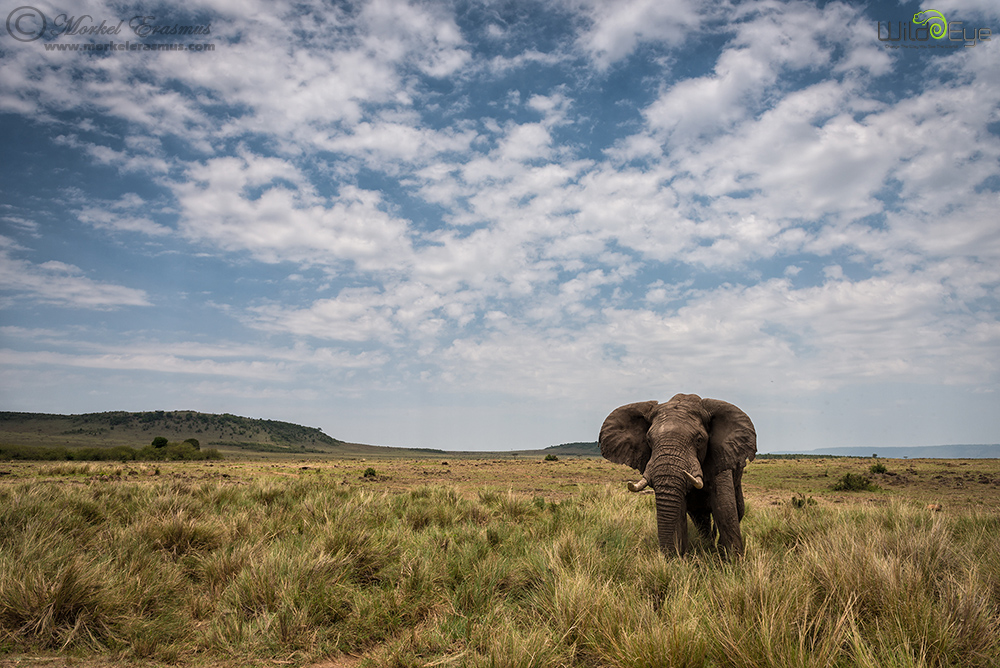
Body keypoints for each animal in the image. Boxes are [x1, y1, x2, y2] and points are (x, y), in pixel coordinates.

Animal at [599, 393, 756, 558]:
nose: (666, 557)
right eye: (648, 440)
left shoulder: (721, 457)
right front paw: (678, 559)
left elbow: (725, 509)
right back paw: (707, 545)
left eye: (699, 440)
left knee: (738, 509)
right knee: (700, 519)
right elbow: (678, 510)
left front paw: (733, 561)